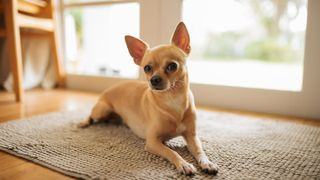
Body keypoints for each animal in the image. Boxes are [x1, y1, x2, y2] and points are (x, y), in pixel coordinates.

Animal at [79, 21, 219, 175]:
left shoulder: (192, 136)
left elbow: (200, 151)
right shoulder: (152, 142)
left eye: (172, 66)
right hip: (102, 109)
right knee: (91, 115)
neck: (172, 99)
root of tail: (108, 89)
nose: (154, 79)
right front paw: (184, 164)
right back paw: (84, 122)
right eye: (147, 68)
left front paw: (207, 163)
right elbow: (172, 152)